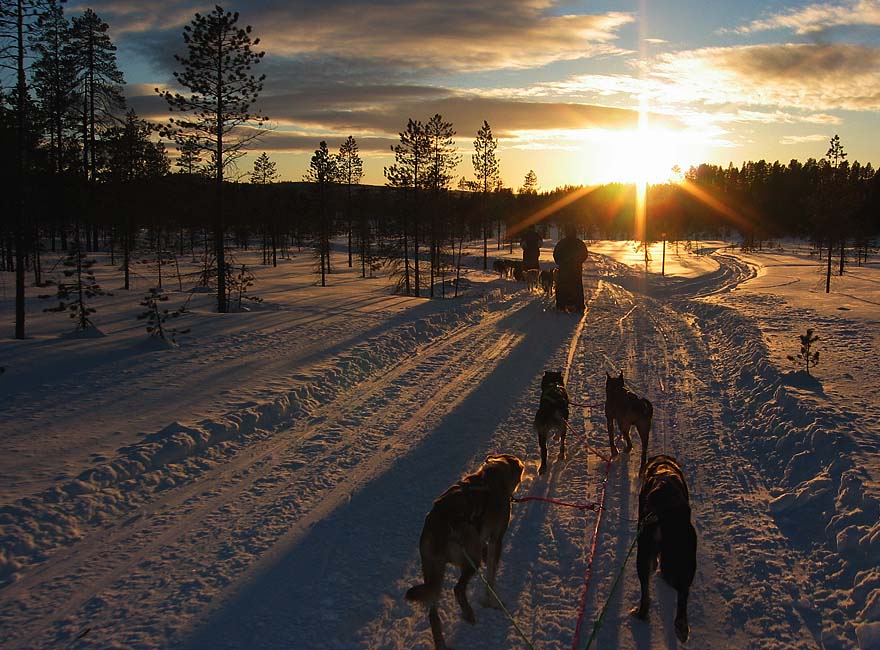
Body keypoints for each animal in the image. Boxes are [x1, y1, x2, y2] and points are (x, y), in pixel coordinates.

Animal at [404, 454, 524, 648]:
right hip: (470, 558)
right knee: (458, 589)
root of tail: (439, 523)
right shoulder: (496, 540)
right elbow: (491, 576)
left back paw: (441, 643)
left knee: (433, 612)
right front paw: (491, 602)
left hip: (433, 571)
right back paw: (468, 613)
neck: (494, 476)